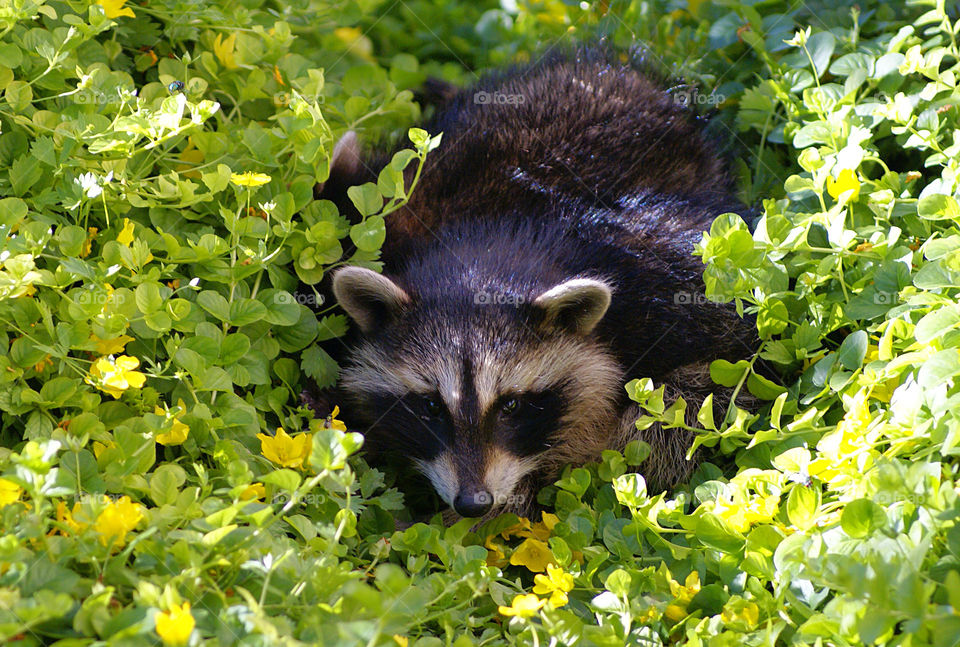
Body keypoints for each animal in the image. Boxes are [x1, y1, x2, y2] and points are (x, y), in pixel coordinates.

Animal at [313, 49, 758, 520]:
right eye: (430, 406)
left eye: (512, 404)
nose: (473, 503)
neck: (486, 246)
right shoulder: (370, 224)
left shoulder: (664, 278)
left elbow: (716, 379)